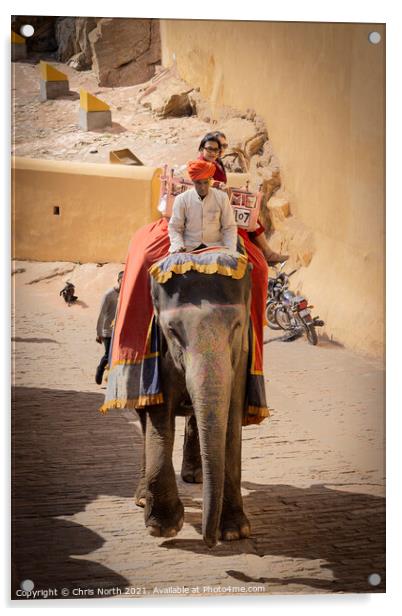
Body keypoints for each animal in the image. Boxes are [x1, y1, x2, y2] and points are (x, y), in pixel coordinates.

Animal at [135, 262, 254, 548]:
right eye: (172, 331)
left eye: (236, 326)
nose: (208, 541)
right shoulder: (158, 351)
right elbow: (159, 416)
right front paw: (162, 527)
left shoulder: (241, 354)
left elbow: (232, 419)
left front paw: (234, 532)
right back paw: (143, 497)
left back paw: (195, 476)